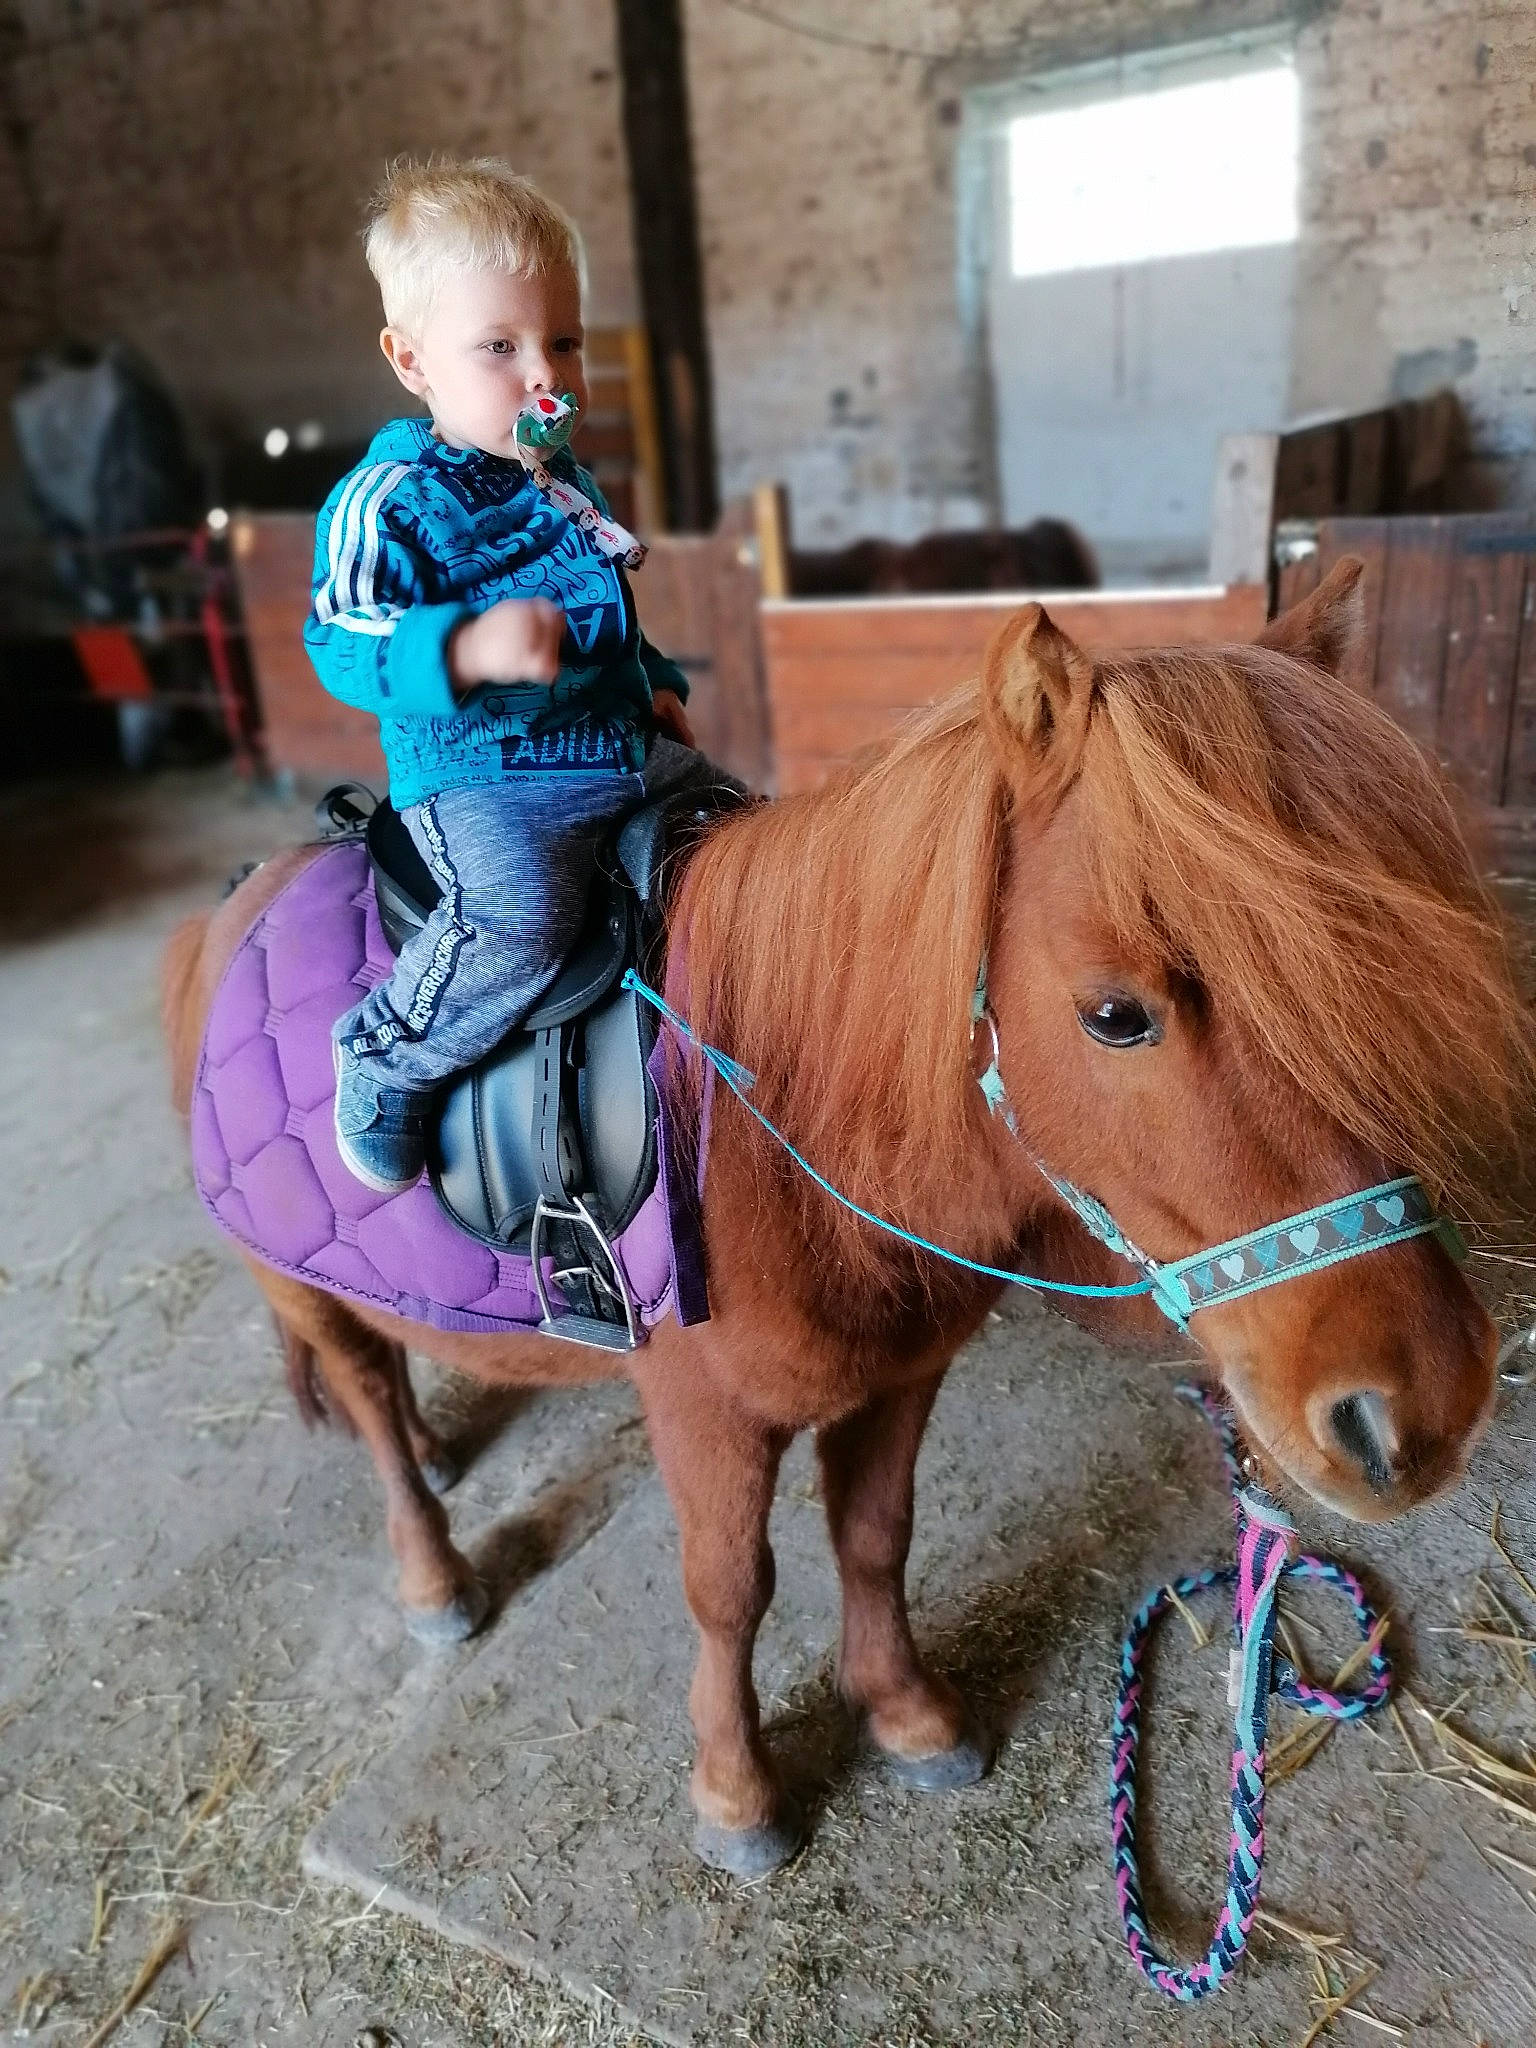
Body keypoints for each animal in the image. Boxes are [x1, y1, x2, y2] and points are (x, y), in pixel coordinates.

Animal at [162, 559, 1532, 1879]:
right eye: (1116, 1014)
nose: (1425, 1407)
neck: (778, 1119)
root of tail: (233, 905)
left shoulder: (903, 1371)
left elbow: (875, 1535)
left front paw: (908, 1713)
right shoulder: (705, 1411)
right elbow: (730, 1587)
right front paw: (735, 1793)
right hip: (295, 1281)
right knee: (367, 1400)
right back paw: (434, 1567)